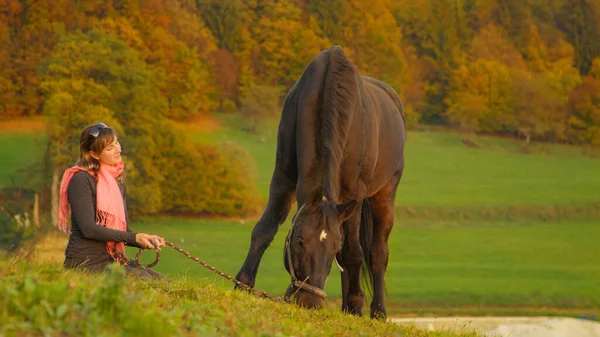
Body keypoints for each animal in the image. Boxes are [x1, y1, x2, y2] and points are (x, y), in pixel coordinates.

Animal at [234, 45, 408, 318]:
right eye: (300, 241)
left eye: (332, 247)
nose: (310, 302)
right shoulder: (283, 175)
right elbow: (265, 228)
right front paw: (243, 283)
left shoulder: (354, 193)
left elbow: (352, 252)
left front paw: (356, 303)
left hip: (385, 193)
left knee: (378, 252)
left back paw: (376, 311)